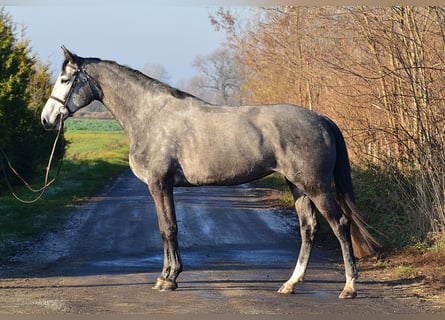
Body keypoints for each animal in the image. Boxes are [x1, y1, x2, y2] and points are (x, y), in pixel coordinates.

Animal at [40, 46, 376, 298]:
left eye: (65, 79)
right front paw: (168, 275)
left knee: (340, 225)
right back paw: (290, 284)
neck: (150, 116)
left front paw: (169, 279)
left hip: (316, 186)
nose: (47, 118)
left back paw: (349, 287)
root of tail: (322, 119)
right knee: (308, 228)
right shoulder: (164, 186)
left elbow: (168, 229)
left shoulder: (159, 184)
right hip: (297, 186)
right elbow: (167, 229)